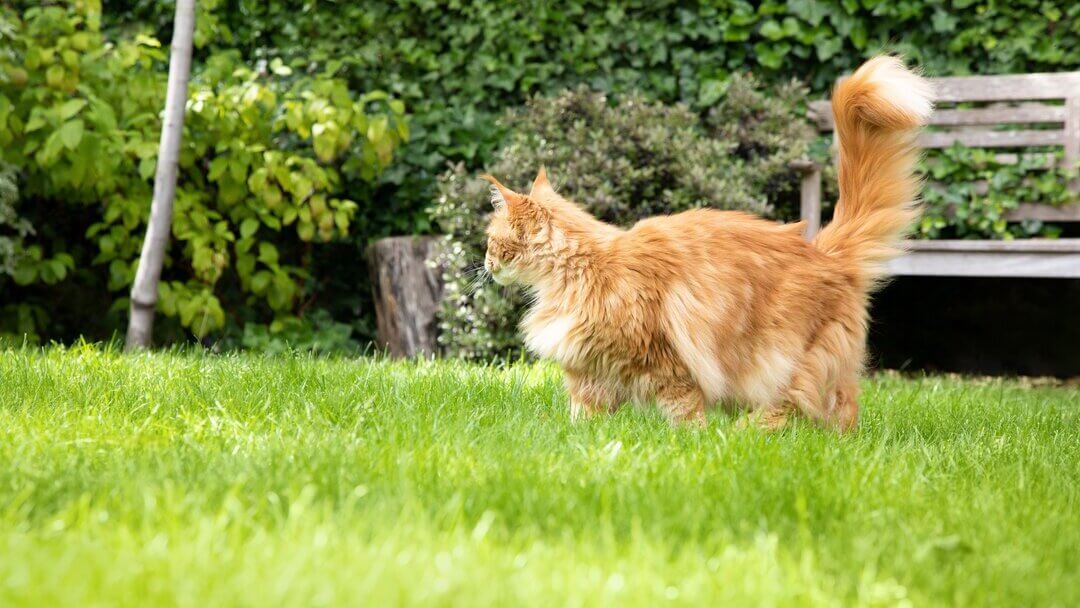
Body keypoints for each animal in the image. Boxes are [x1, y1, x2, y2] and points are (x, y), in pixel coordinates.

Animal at [479, 55, 928, 427]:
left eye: (490, 241)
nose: (484, 262)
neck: (581, 271)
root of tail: (823, 250)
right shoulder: (591, 372)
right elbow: (581, 419)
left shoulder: (667, 361)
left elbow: (684, 411)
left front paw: (690, 441)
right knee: (844, 406)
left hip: (781, 358)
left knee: (796, 403)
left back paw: (746, 435)